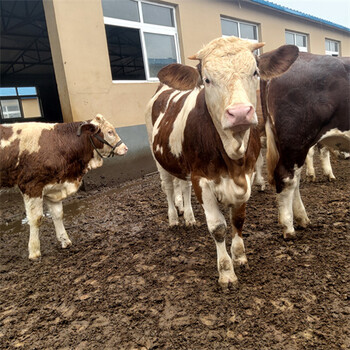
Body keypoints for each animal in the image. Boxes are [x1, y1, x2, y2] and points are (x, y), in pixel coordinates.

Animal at [0, 115, 129, 260]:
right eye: (110, 132)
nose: (125, 148)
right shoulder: (31, 186)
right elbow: (35, 219)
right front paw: (34, 251)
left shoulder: (54, 187)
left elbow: (57, 214)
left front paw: (65, 240)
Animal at [145, 35, 298, 288]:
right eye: (207, 80)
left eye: (255, 72)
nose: (240, 113)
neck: (233, 158)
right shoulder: (202, 179)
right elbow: (218, 228)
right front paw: (226, 272)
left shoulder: (246, 176)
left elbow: (238, 220)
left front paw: (240, 256)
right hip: (159, 157)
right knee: (168, 188)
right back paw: (174, 218)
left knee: (183, 187)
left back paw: (189, 217)